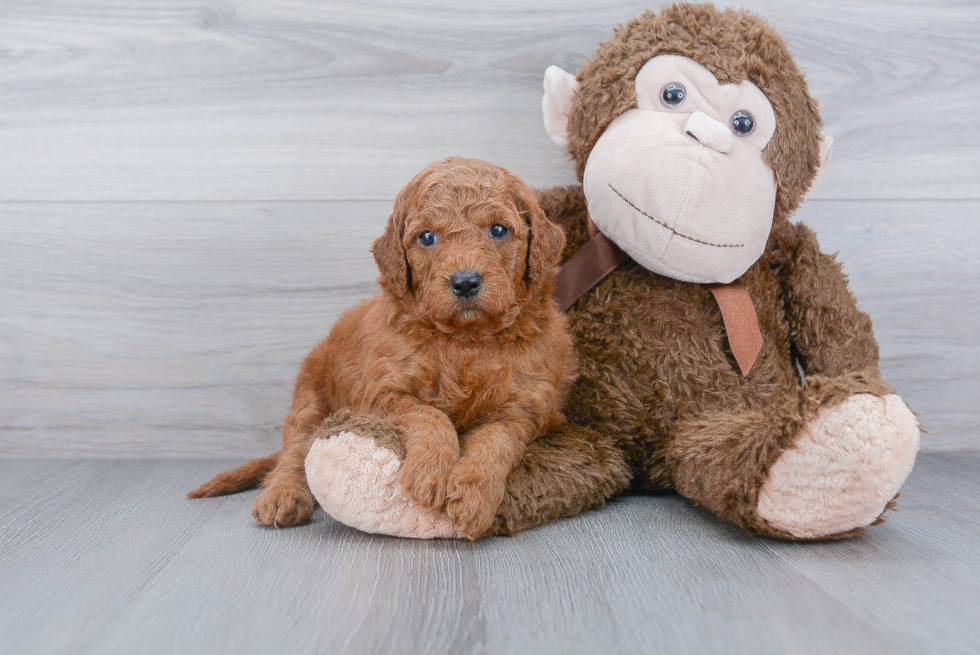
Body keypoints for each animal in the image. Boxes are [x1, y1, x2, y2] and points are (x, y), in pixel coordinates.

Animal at [189, 158, 576, 540]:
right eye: (427, 237)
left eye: (498, 230)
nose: (465, 282)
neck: (465, 340)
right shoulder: (382, 392)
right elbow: (429, 414)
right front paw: (431, 472)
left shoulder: (525, 407)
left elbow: (495, 442)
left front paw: (475, 495)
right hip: (311, 394)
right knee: (295, 448)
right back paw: (282, 496)